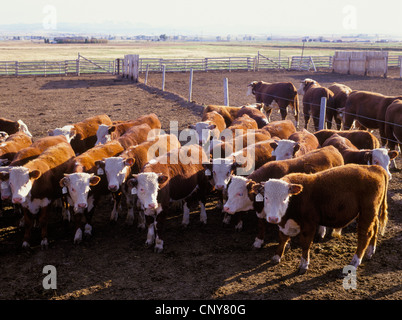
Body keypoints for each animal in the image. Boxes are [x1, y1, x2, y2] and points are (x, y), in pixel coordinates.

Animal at [254, 164, 390, 274]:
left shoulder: (309, 225)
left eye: (284, 198)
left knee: (364, 235)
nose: (273, 218)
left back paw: (355, 261)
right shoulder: (284, 225)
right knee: (375, 228)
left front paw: (304, 265)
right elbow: (282, 239)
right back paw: (370, 252)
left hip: (367, 212)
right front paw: (277, 256)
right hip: (372, 213)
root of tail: (374, 167)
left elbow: (305, 244)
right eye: (266, 197)